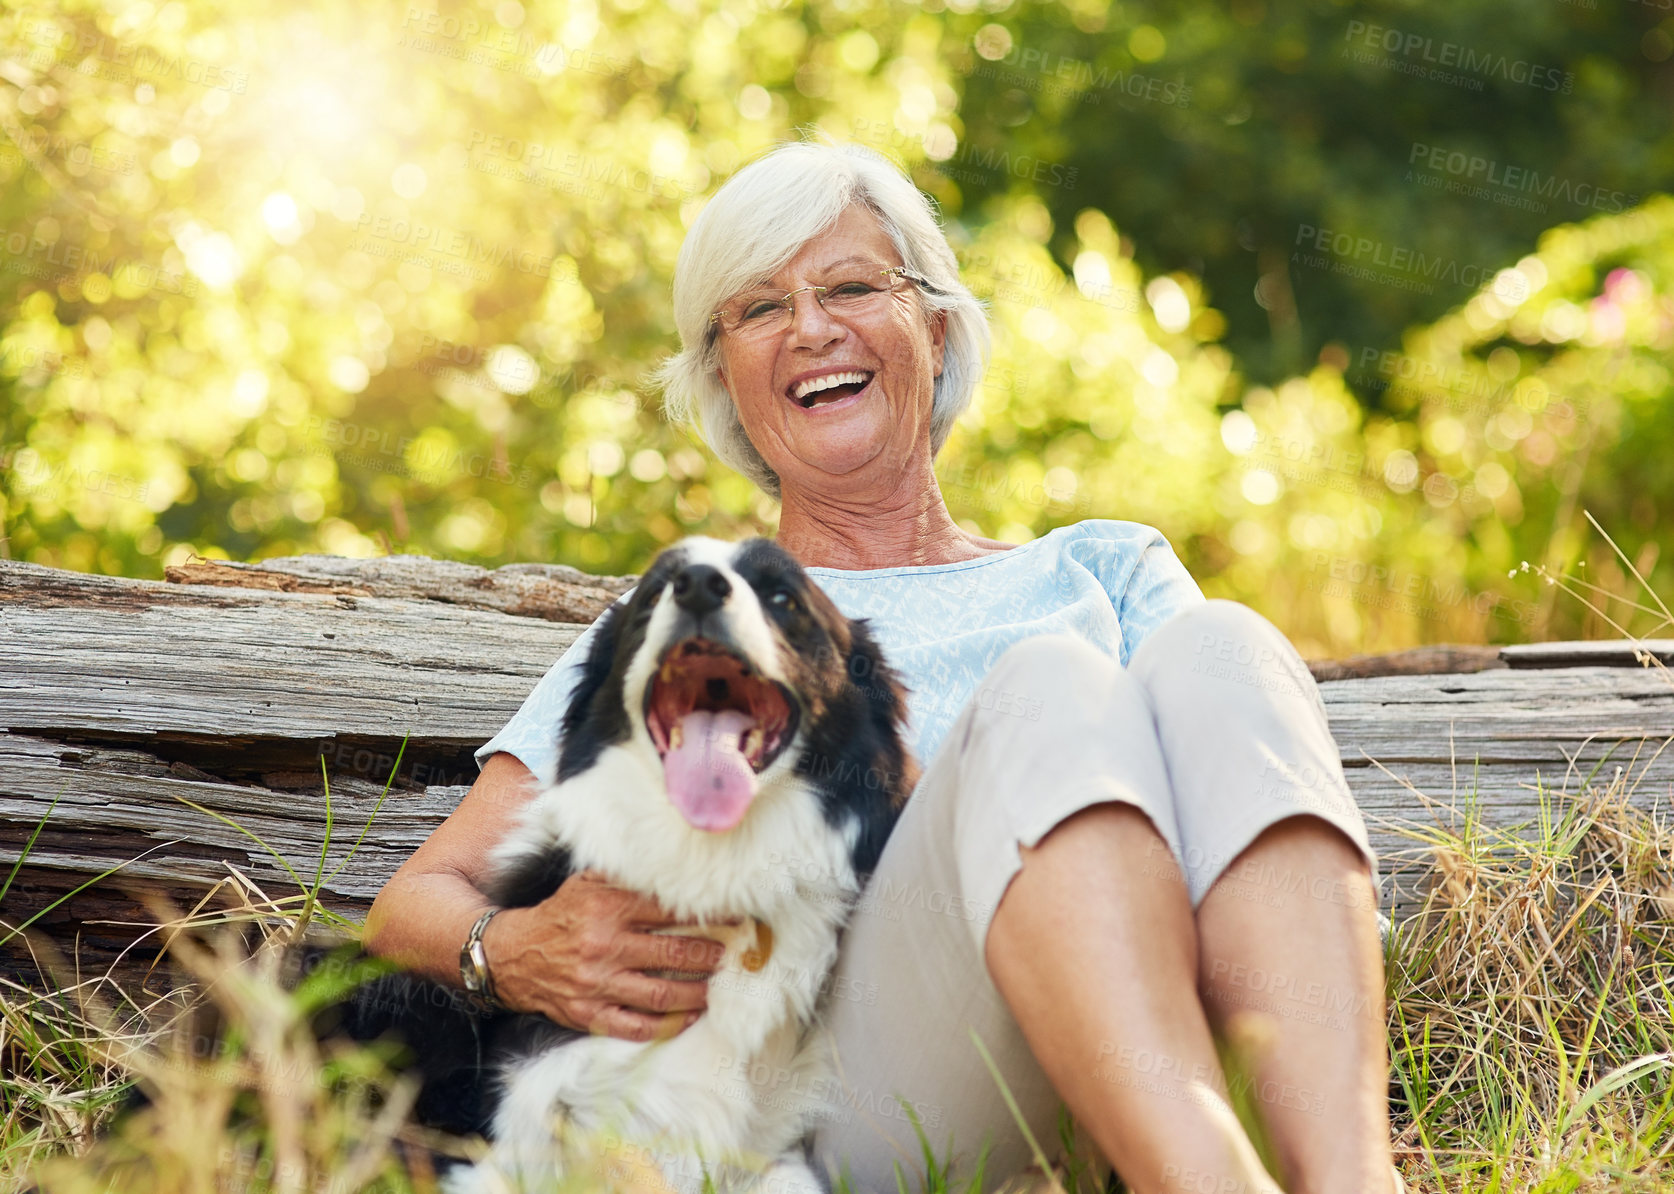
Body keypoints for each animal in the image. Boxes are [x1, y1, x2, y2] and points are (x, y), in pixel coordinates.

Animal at [351, 539, 917, 1192]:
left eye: (782, 596)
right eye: (654, 592)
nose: (699, 587)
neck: (712, 861)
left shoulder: (765, 1139)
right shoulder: (536, 1103)